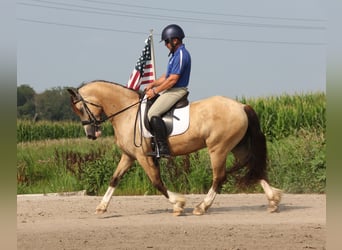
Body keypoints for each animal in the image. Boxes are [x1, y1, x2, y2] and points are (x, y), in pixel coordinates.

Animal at [68, 79, 282, 215]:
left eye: (79, 108)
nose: (91, 134)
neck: (126, 112)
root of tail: (241, 106)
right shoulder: (129, 156)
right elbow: (114, 179)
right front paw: (101, 207)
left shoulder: (143, 156)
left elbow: (156, 182)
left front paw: (178, 204)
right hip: (236, 146)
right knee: (253, 165)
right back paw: (273, 200)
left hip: (218, 148)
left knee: (219, 177)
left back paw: (202, 207)